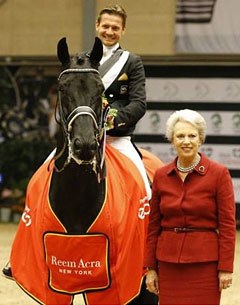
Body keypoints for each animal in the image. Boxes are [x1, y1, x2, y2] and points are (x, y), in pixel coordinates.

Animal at [5, 36, 163, 302]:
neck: (76, 194)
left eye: (99, 89)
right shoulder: (52, 281)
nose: (85, 145)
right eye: (62, 89)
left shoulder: (113, 285)